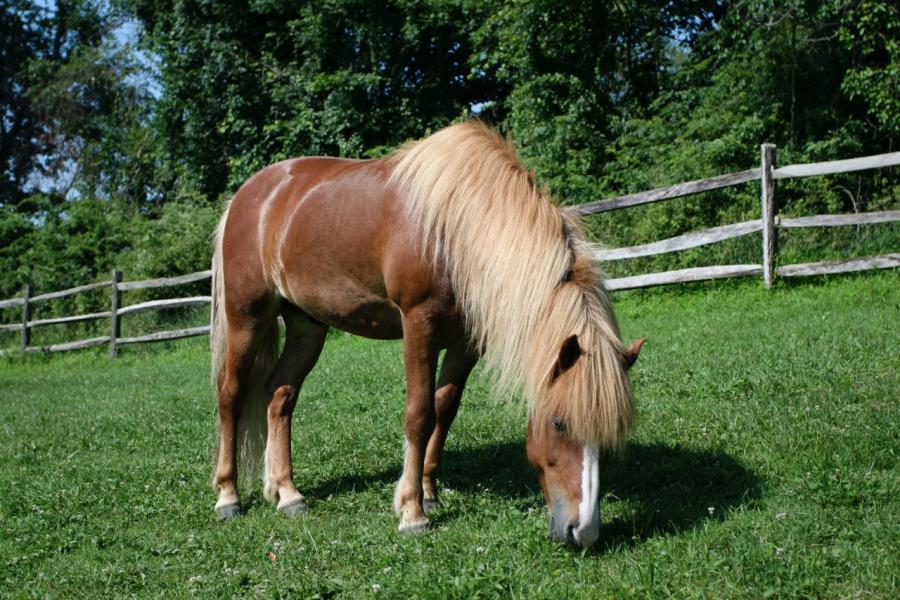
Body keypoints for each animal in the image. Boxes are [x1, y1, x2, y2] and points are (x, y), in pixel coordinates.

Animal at [209, 122, 648, 548]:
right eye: (559, 423)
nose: (583, 532)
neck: (455, 227)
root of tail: (247, 196)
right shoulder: (419, 324)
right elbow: (419, 415)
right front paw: (412, 512)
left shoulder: (465, 340)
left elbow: (444, 408)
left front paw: (428, 492)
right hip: (247, 317)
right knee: (231, 393)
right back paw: (228, 496)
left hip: (306, 326)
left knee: (280, 394)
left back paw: (286, 493)